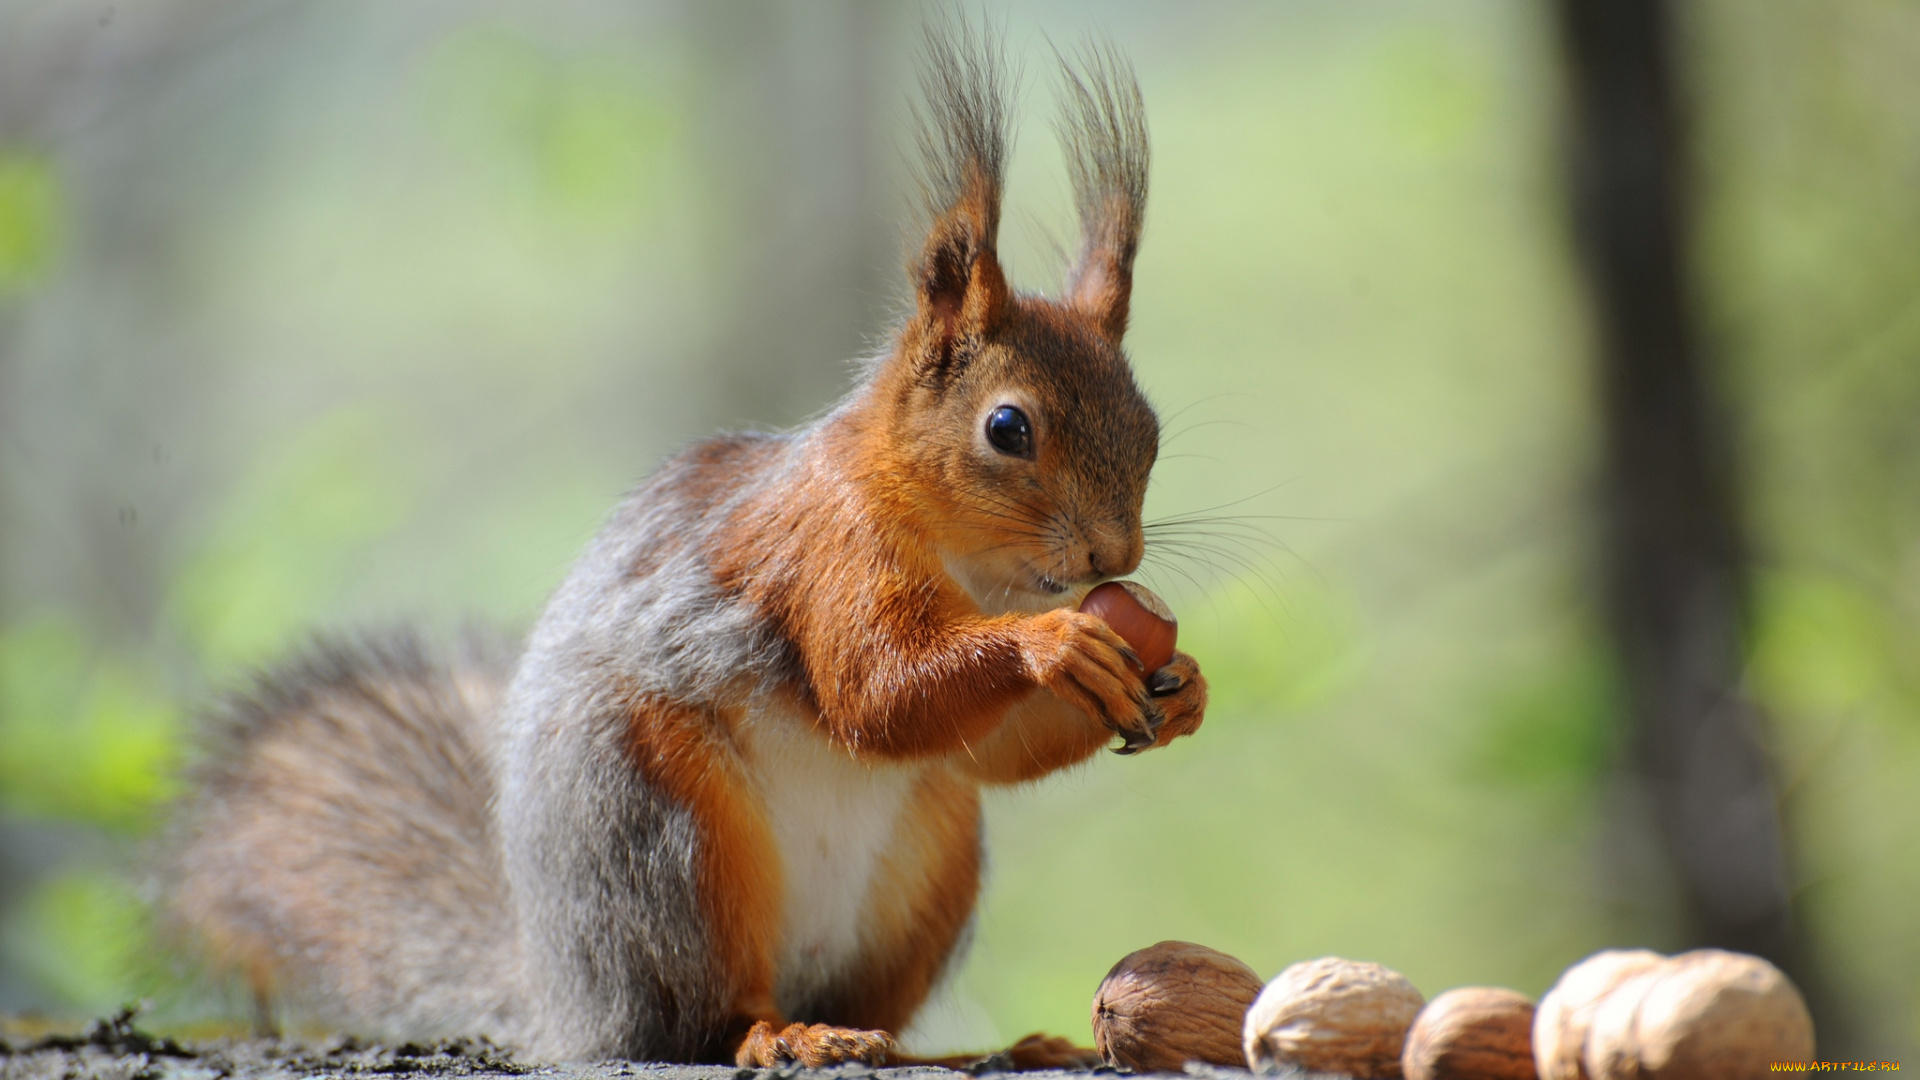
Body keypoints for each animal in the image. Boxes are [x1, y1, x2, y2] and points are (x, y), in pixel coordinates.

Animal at [168, 25, 1213, 1068]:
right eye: (1007, 428)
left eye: (1153, 429)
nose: (1114, 560)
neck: (971, 562)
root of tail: (569, 997)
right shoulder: (822, 554)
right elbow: (876, 689)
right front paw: (1058, 645)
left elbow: (986, 744)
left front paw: (1183, 685)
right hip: (668, 835)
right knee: (703, 1017)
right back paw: (783, 1033)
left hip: (935, 850)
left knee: (882, 995)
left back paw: (966, 1048)